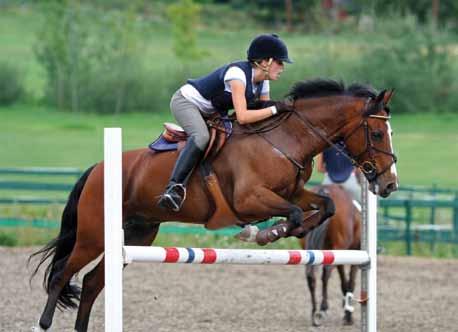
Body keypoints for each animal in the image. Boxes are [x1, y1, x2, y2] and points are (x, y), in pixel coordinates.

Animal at [300, 184, 362, 326]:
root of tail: (325, 190)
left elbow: (344, 283)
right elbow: (350, 283)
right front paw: (348, 316)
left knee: (311, 275)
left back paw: (314, 312)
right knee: (326, 272)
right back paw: (323, 309)